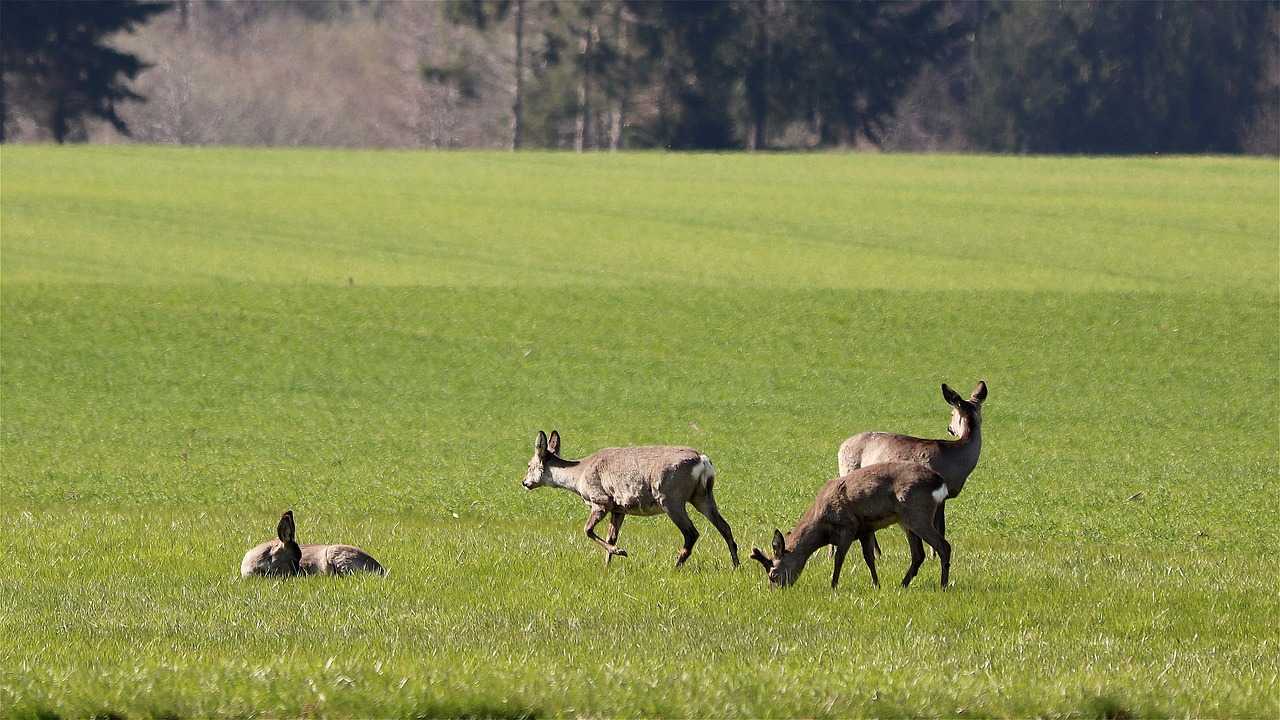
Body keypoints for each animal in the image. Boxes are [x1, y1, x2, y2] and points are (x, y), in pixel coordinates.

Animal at [519, 425, 742, 566]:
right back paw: (736, 565)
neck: (578, 474)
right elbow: (612, 536)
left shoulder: (600, 500)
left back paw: (676, 565)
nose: (524, 482)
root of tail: (702, 460)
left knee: (692, 533)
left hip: (671, 498)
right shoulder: (619, 509)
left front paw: (621, 552)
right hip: (702, 496)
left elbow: (587, 530)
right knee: (725, 527)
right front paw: (607, 566)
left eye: (529, 465)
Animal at [747, 458, 952, 589]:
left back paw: (943, 585)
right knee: (918, 554)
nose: (776, 591)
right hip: (906, 520)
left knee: (944, 545)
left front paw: (833, 585)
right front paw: (876, 585)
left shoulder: (848, 526)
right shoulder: (866, 529)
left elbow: (839, 558)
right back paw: (903, 585)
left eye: (773, 574)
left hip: (917, 513)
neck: (822, 528)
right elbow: (869, 558)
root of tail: (940, 482)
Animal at [834, 379, 983, 550]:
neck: (955, 457)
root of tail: (841, 445)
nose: (950, 429)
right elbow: (939, 527)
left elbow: (941, 527)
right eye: (952, 413)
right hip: (847, 471)